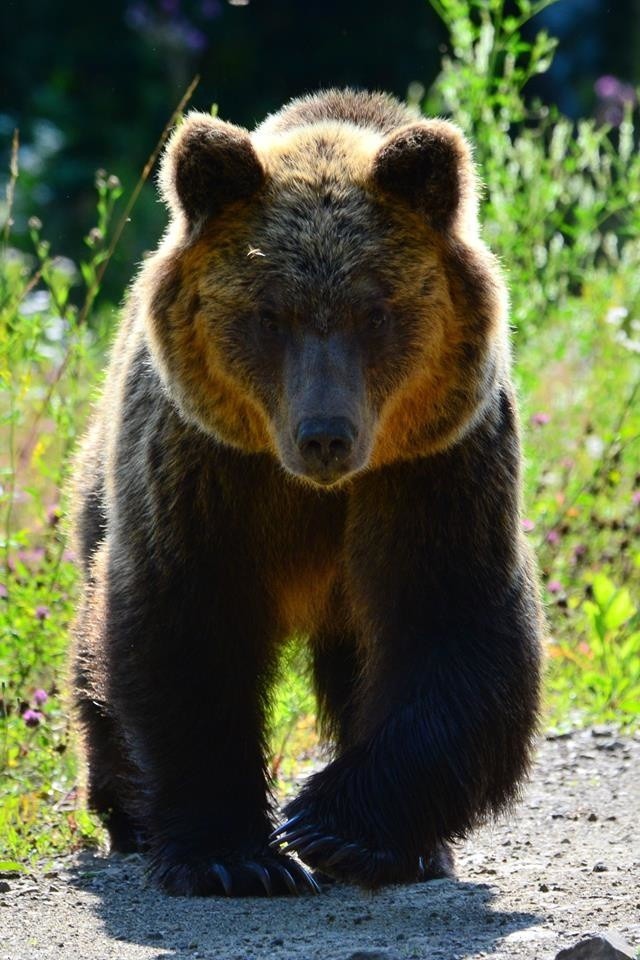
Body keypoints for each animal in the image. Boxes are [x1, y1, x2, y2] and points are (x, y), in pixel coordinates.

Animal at [74, 90, 544, 900]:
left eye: (375, 311)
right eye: (271, 313)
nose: (325, 435)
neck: (317, 491)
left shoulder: (435, 468)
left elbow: (451, 626)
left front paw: (341, 828)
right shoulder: (207, 466)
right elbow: (185, 625)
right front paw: (234, 856)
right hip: (104, 480)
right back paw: (125, 813)